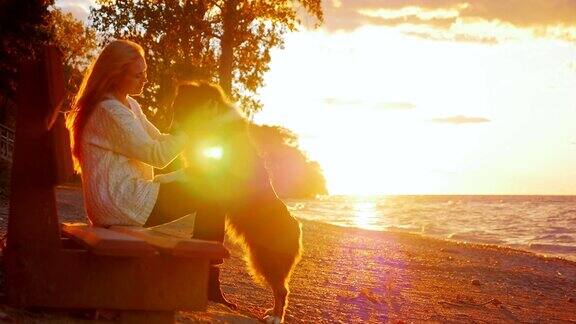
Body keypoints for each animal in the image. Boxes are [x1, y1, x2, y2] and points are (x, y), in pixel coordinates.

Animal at [171, 81, 304, 324]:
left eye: (183, 106)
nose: (170, 125)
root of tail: (296, 227)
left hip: (267, 259)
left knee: (282, 290)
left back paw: (275, 316)